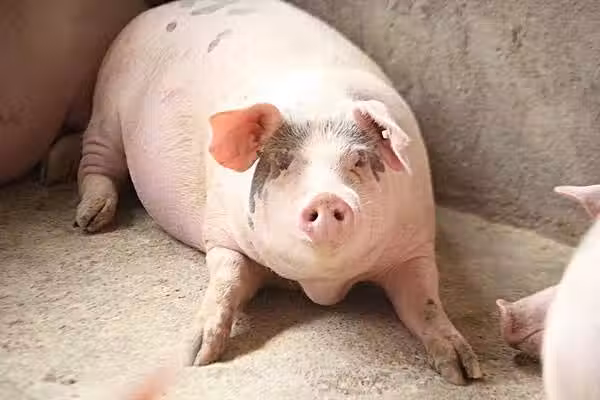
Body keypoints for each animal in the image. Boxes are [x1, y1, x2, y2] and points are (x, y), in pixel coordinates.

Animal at [74, 0, 481, 385]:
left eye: (358, 161)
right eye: (284, 162)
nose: (327, 197)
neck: (322, 286)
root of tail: (149, 14)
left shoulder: (415, 244)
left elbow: (425, 300)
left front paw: (465, 371)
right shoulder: (222, 233)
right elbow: (226, 280)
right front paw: (195, 355)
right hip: (106, 108)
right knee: (94, 162)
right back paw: (89, 220)